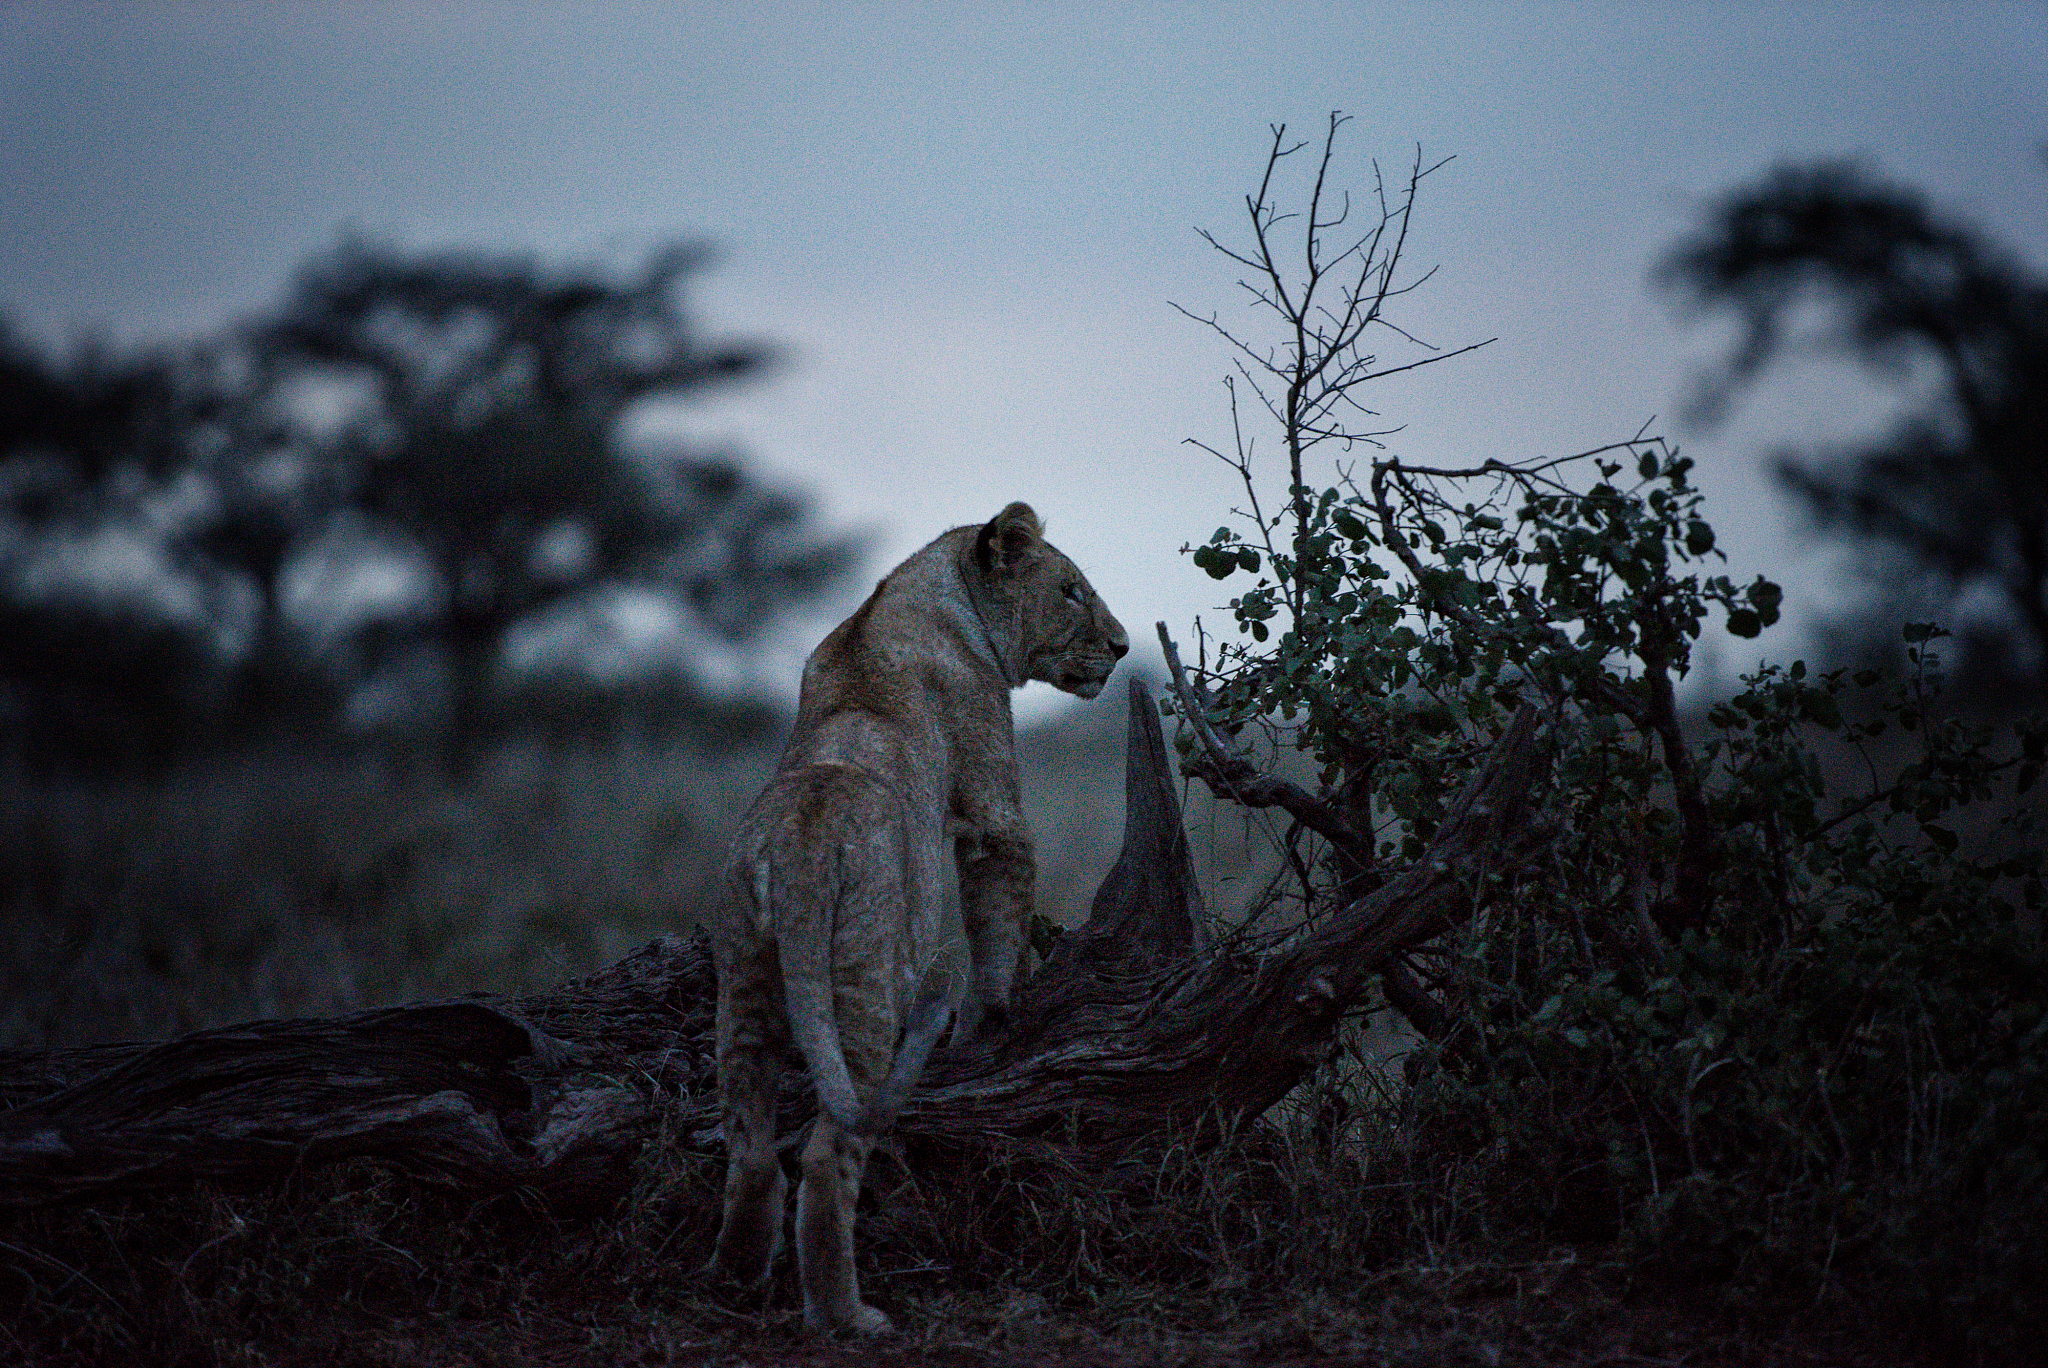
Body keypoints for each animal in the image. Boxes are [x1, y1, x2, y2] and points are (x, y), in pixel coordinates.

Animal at [704, 501, 1128, 1334]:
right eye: (1070, 590)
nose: (1124, 647)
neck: (921, 586)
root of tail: (801, 847)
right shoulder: (994, 803)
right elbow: (999, 920)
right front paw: (994, 1018)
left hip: (744, 977)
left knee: (753, 1151)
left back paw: (733, 1277)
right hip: (869, 985)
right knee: (827, 1155)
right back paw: (846, 1314)